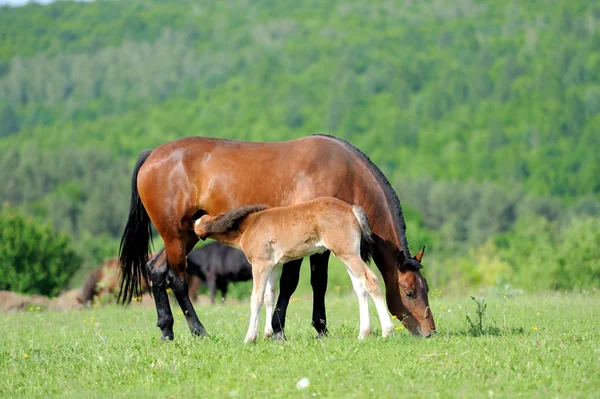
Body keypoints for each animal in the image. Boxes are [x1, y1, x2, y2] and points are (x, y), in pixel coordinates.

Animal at [195, 198, 396, 344]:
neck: (249, 225)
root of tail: (352, 209)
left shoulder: (260, 265)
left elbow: (256, 299)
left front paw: (250, 338)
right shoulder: (273, 266)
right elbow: (269, 297)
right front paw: (268, 335)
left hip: (347, 253)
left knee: (370, 280)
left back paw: (387, 331)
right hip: (348, 254)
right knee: (360, 288)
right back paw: (364, 333)